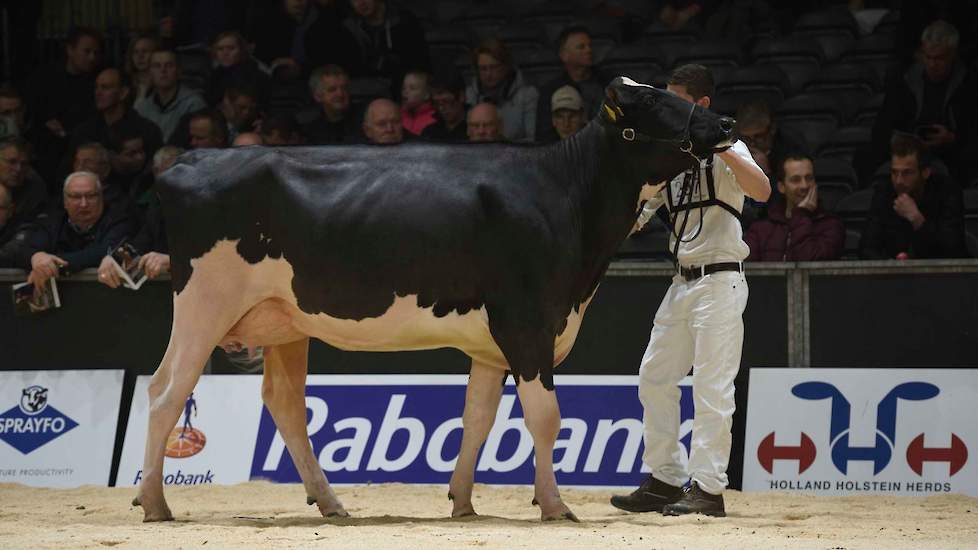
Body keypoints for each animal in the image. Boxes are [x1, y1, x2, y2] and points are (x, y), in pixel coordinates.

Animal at [133, 76, 736, 520]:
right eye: (653, 99)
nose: (727, 121)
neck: (563, 193)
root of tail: (189, 161)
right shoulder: (527, 323)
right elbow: (546, 417)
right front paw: (555, 505)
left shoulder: (493, 340)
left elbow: (479, 417)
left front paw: (464, 502)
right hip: (204, 302)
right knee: (166, 390)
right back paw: (156, 503)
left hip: (285, 320)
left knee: (284, 403)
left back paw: (329, 503)